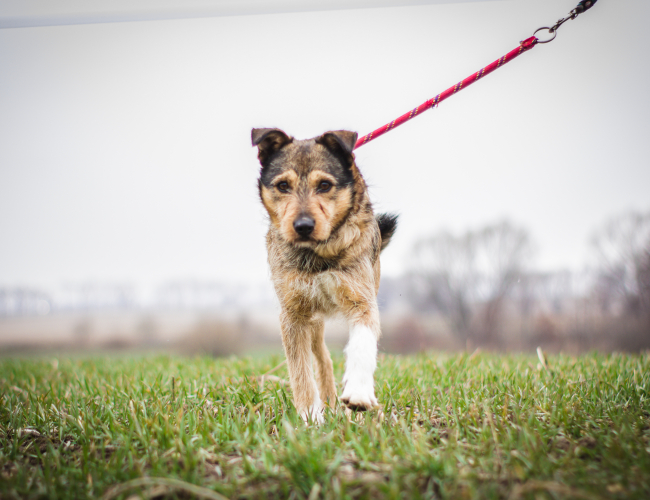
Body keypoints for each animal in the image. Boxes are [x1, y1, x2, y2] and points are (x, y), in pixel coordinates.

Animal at [252, 128, 394, 422]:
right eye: (283, 186)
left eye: (325, 185)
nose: (303, 226)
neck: (319, 254)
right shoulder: (293, 314)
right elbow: (300, 370)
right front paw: (310, 416)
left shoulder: (361, 298)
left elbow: (362, 344)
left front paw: (359, 394)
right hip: (313, 321)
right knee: (322, 358)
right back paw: (327, 402)